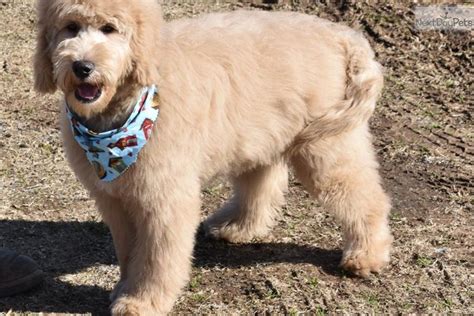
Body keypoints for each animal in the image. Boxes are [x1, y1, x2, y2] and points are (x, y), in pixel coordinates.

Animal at [33, 0, 392, 314]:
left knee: (366, 198)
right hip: (260, 134)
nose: (82, 67)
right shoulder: (114, 199)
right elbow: (129, 249)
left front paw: (142, 302)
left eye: (109, 29)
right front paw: (125, 288)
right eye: (70, 27)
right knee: (262, 183)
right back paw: (238, 227)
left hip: (326, 145)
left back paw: (366, 255)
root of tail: (341, 34)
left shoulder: (165, 198)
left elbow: (156, 258)